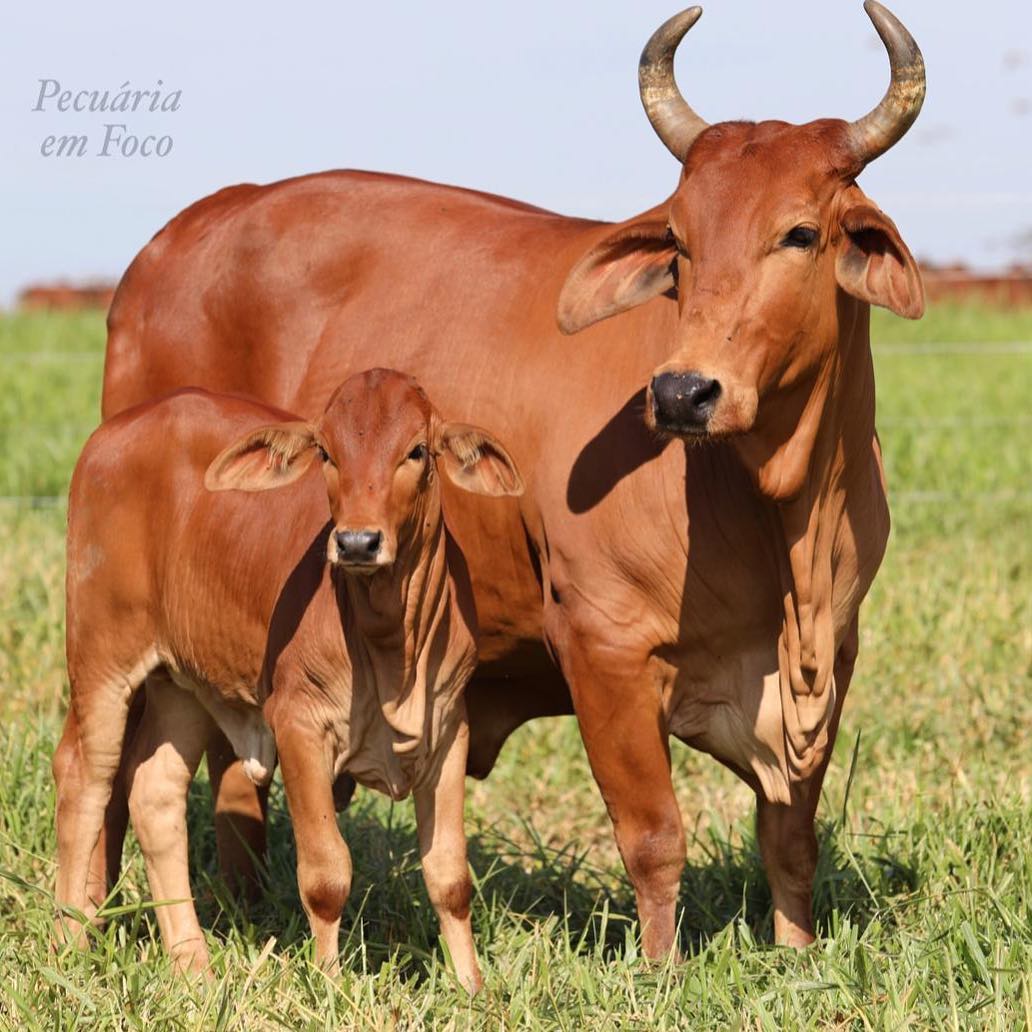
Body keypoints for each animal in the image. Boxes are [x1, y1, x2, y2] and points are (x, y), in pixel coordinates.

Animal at [54, 367, 524, 986]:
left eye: (417, 451)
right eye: (326, 451)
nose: (356, 542)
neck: (389, 642)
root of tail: (114, 433)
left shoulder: (449, 730)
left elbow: (450, 878)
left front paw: (472, 987)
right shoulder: (298, 724)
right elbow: (326, 875)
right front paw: (329, 983)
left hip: (181, 682)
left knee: (153, 791)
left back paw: (192, 964)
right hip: (101, 658)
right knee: (84, 777)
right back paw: (70, 941)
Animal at [97, 2, 924, 957]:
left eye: (799, 232)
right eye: (679, 242)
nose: (683, 393)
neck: (779, 517)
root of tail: (174, 241)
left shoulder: (834, 655)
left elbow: (790, 838)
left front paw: (797, 956)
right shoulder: (603, 645)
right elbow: (654, 835)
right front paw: (661, 969)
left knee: (235, 775)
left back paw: (250, 910)